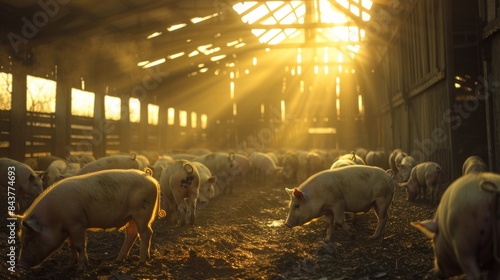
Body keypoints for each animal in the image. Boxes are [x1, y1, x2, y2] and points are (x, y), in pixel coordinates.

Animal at [9, 168, 165, 272]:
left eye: (30, 239)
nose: (20, 265)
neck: (53, 218)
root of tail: (151, 178)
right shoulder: (69, 227)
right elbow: (72, 246)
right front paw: (69, 267)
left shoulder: (77, 224)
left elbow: (79, 245)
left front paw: (81, 269)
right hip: (131, 216)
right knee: (132, 234)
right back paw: (119, 260)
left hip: (142, 213)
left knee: (146, 233)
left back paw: (141, 261)